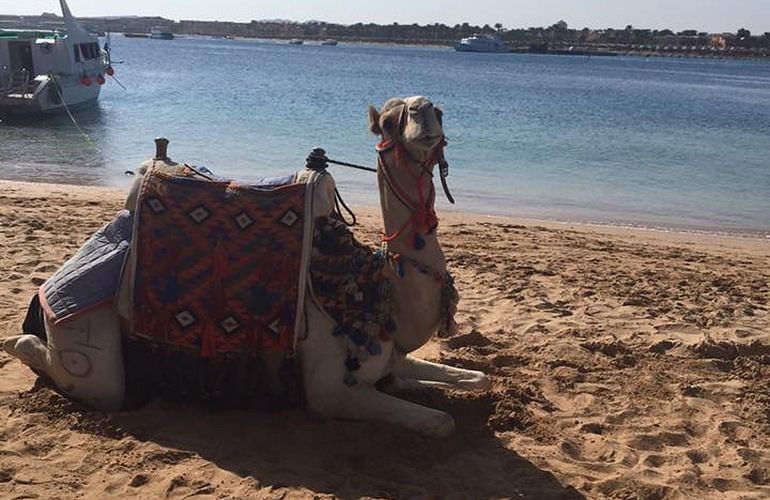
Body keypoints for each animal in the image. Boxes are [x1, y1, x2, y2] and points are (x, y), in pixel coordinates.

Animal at [3, 95, 488, 436]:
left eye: (440, 111)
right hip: (83, 336)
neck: (381, 295)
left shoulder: (388, 365)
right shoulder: (331, 391)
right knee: (85, 375)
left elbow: (477, 378)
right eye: (388, 121)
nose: (424, 113)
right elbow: (440, 422)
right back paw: (16, 341)